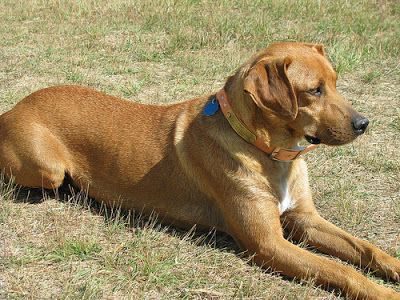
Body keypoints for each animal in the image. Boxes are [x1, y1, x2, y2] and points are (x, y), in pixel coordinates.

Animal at [0, 42, 400, 300]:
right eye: (313, 91)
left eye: (335, 82)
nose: (364, 124)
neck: (268, 152)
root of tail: (12, 108)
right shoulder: (268, 243)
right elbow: (342, 270)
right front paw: (383, 293)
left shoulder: (305, 219)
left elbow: (367, 250)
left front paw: (393, 267)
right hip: (48, 169)